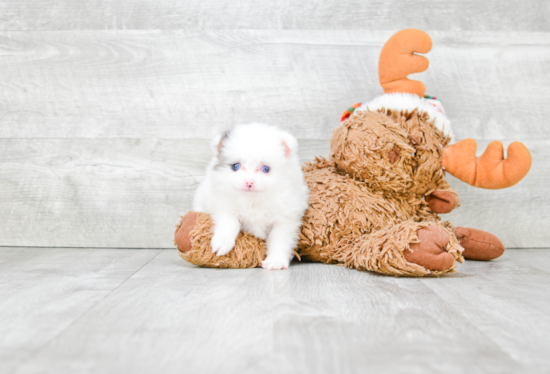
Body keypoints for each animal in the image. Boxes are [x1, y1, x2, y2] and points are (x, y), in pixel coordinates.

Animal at [194, 124, 308, 270]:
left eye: (265, 169)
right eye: (235, 166)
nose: (249, 182)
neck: (253, 200)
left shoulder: (285, 220)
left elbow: (279, 240)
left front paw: (276, 260)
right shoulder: (220, 206)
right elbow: (230, 222)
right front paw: (223, 241)